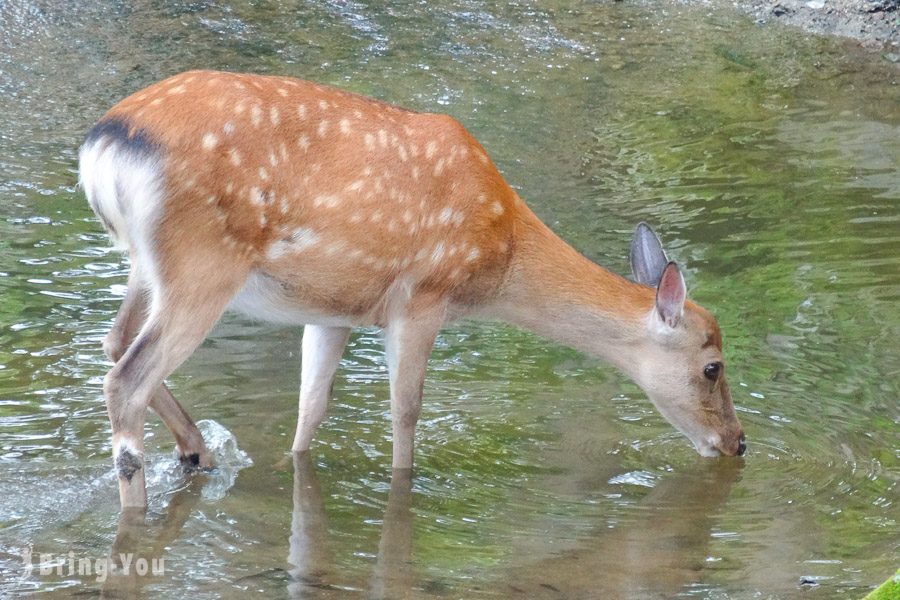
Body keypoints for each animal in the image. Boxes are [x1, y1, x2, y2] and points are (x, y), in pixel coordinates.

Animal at [79, 71, 744, 510]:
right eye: (712, 366)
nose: (738, 442)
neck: (500, 257)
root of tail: (103, 145)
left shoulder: (333, 310)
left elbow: (310, 410)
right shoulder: (423, 295)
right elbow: (405, 409)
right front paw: (405, 488)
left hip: (147, 265)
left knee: (114, 341)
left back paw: (199, 451)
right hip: (203, 265)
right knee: (126, 376)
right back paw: (138, 506)